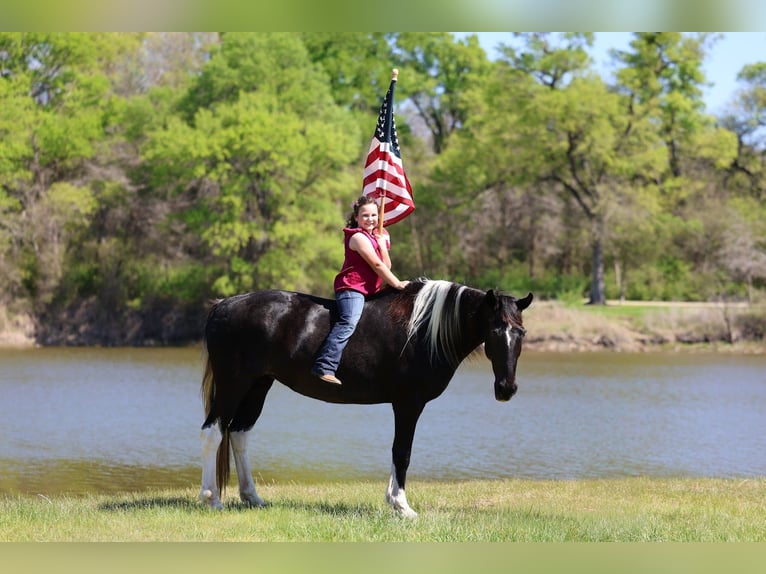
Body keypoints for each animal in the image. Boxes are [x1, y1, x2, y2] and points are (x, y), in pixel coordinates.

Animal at [199, 278, 533, 518]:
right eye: (494, 331)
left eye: (521, 333)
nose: (506, 388)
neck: (424, 330)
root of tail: (223, 305)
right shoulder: (408, 404)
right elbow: (402, 452)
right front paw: (401, 506)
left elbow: (398, 452)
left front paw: (394, 501)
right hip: (233, 383)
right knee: (213, 431)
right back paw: (211, 498)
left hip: (258, 385)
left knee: (239, 433)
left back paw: (252, 497)